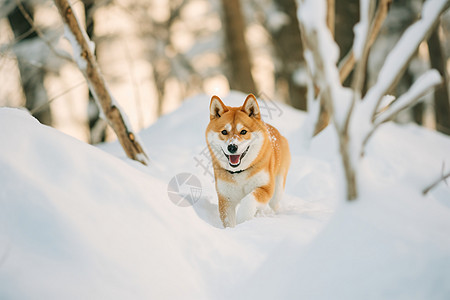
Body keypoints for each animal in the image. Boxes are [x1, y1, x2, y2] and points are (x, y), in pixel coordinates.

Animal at [206, 94, 290, 227]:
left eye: (243, 131)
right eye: (224, 131)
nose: (232, 147)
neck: (239, 173)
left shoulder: (265, 188)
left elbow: (249, 199)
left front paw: (243, 219)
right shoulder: (226, 197)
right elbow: (228, 221)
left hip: (277, 189)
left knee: (274, 204)